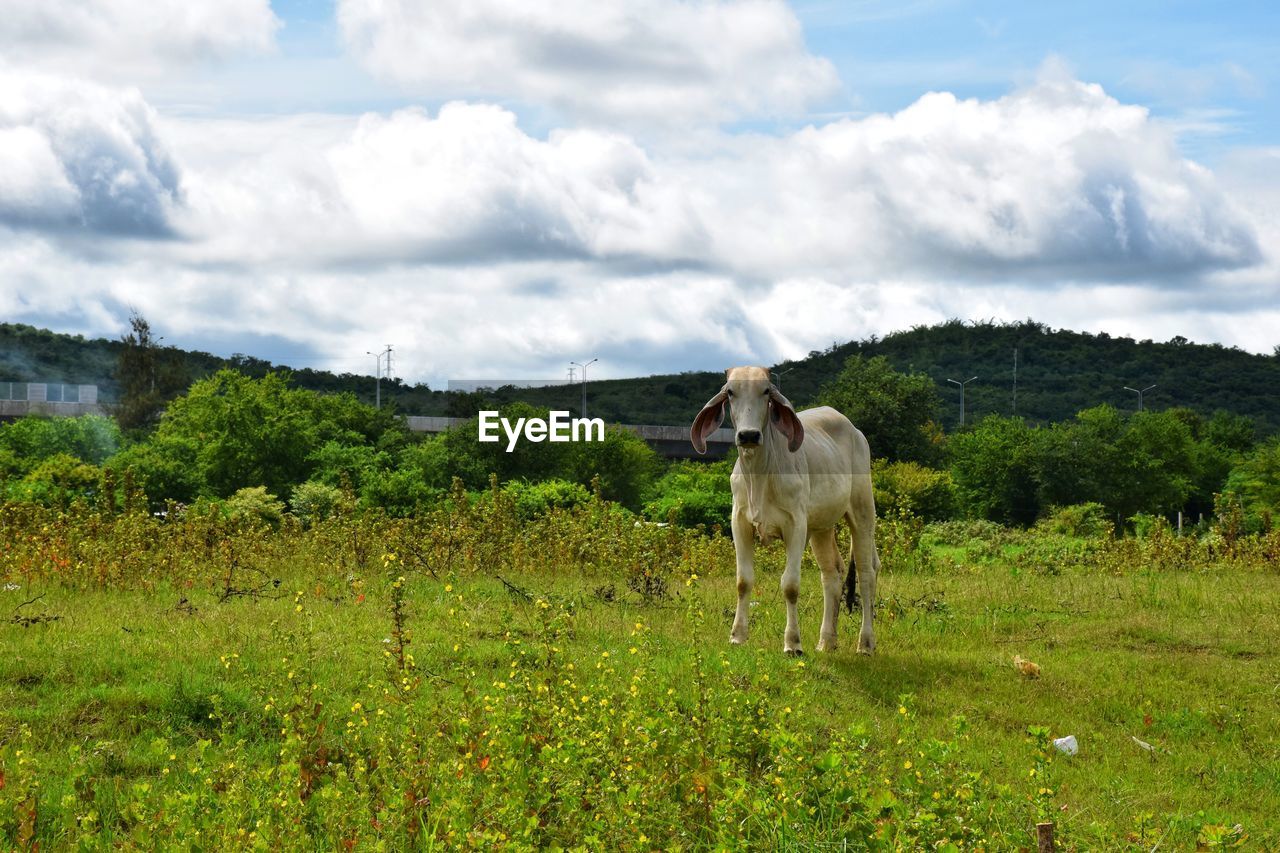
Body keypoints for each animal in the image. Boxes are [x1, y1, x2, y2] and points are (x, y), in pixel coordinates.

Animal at [691, 363, 880, 650]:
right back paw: (826, 641)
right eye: (730, 392)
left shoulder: (796, 525)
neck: (759, 475)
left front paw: (793, 643)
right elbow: (743, 581)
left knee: (867, 573)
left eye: (766, 391)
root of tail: (855, 431)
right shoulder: (740, 523)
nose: (748, 435)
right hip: (821, 527)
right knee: (832, 573)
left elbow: (790, 585)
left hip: (862, 511)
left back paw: (865, 643)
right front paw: (738, 636)